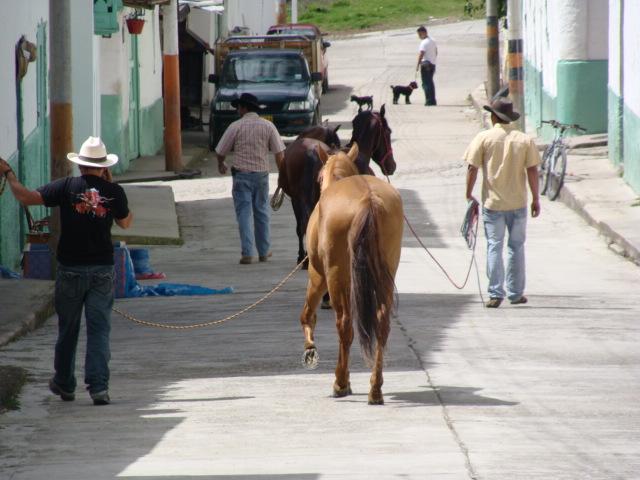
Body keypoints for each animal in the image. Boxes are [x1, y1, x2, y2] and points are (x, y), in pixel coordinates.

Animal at [302, 142, 402, 404]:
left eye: (318, 177)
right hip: (386, 275)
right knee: (382, 323)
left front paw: (310, 349)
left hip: (336, 277)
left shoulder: (318, 275)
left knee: (344, 325)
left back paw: (340, 382)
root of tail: (368, 198)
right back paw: (375, 388)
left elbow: (307, 315)